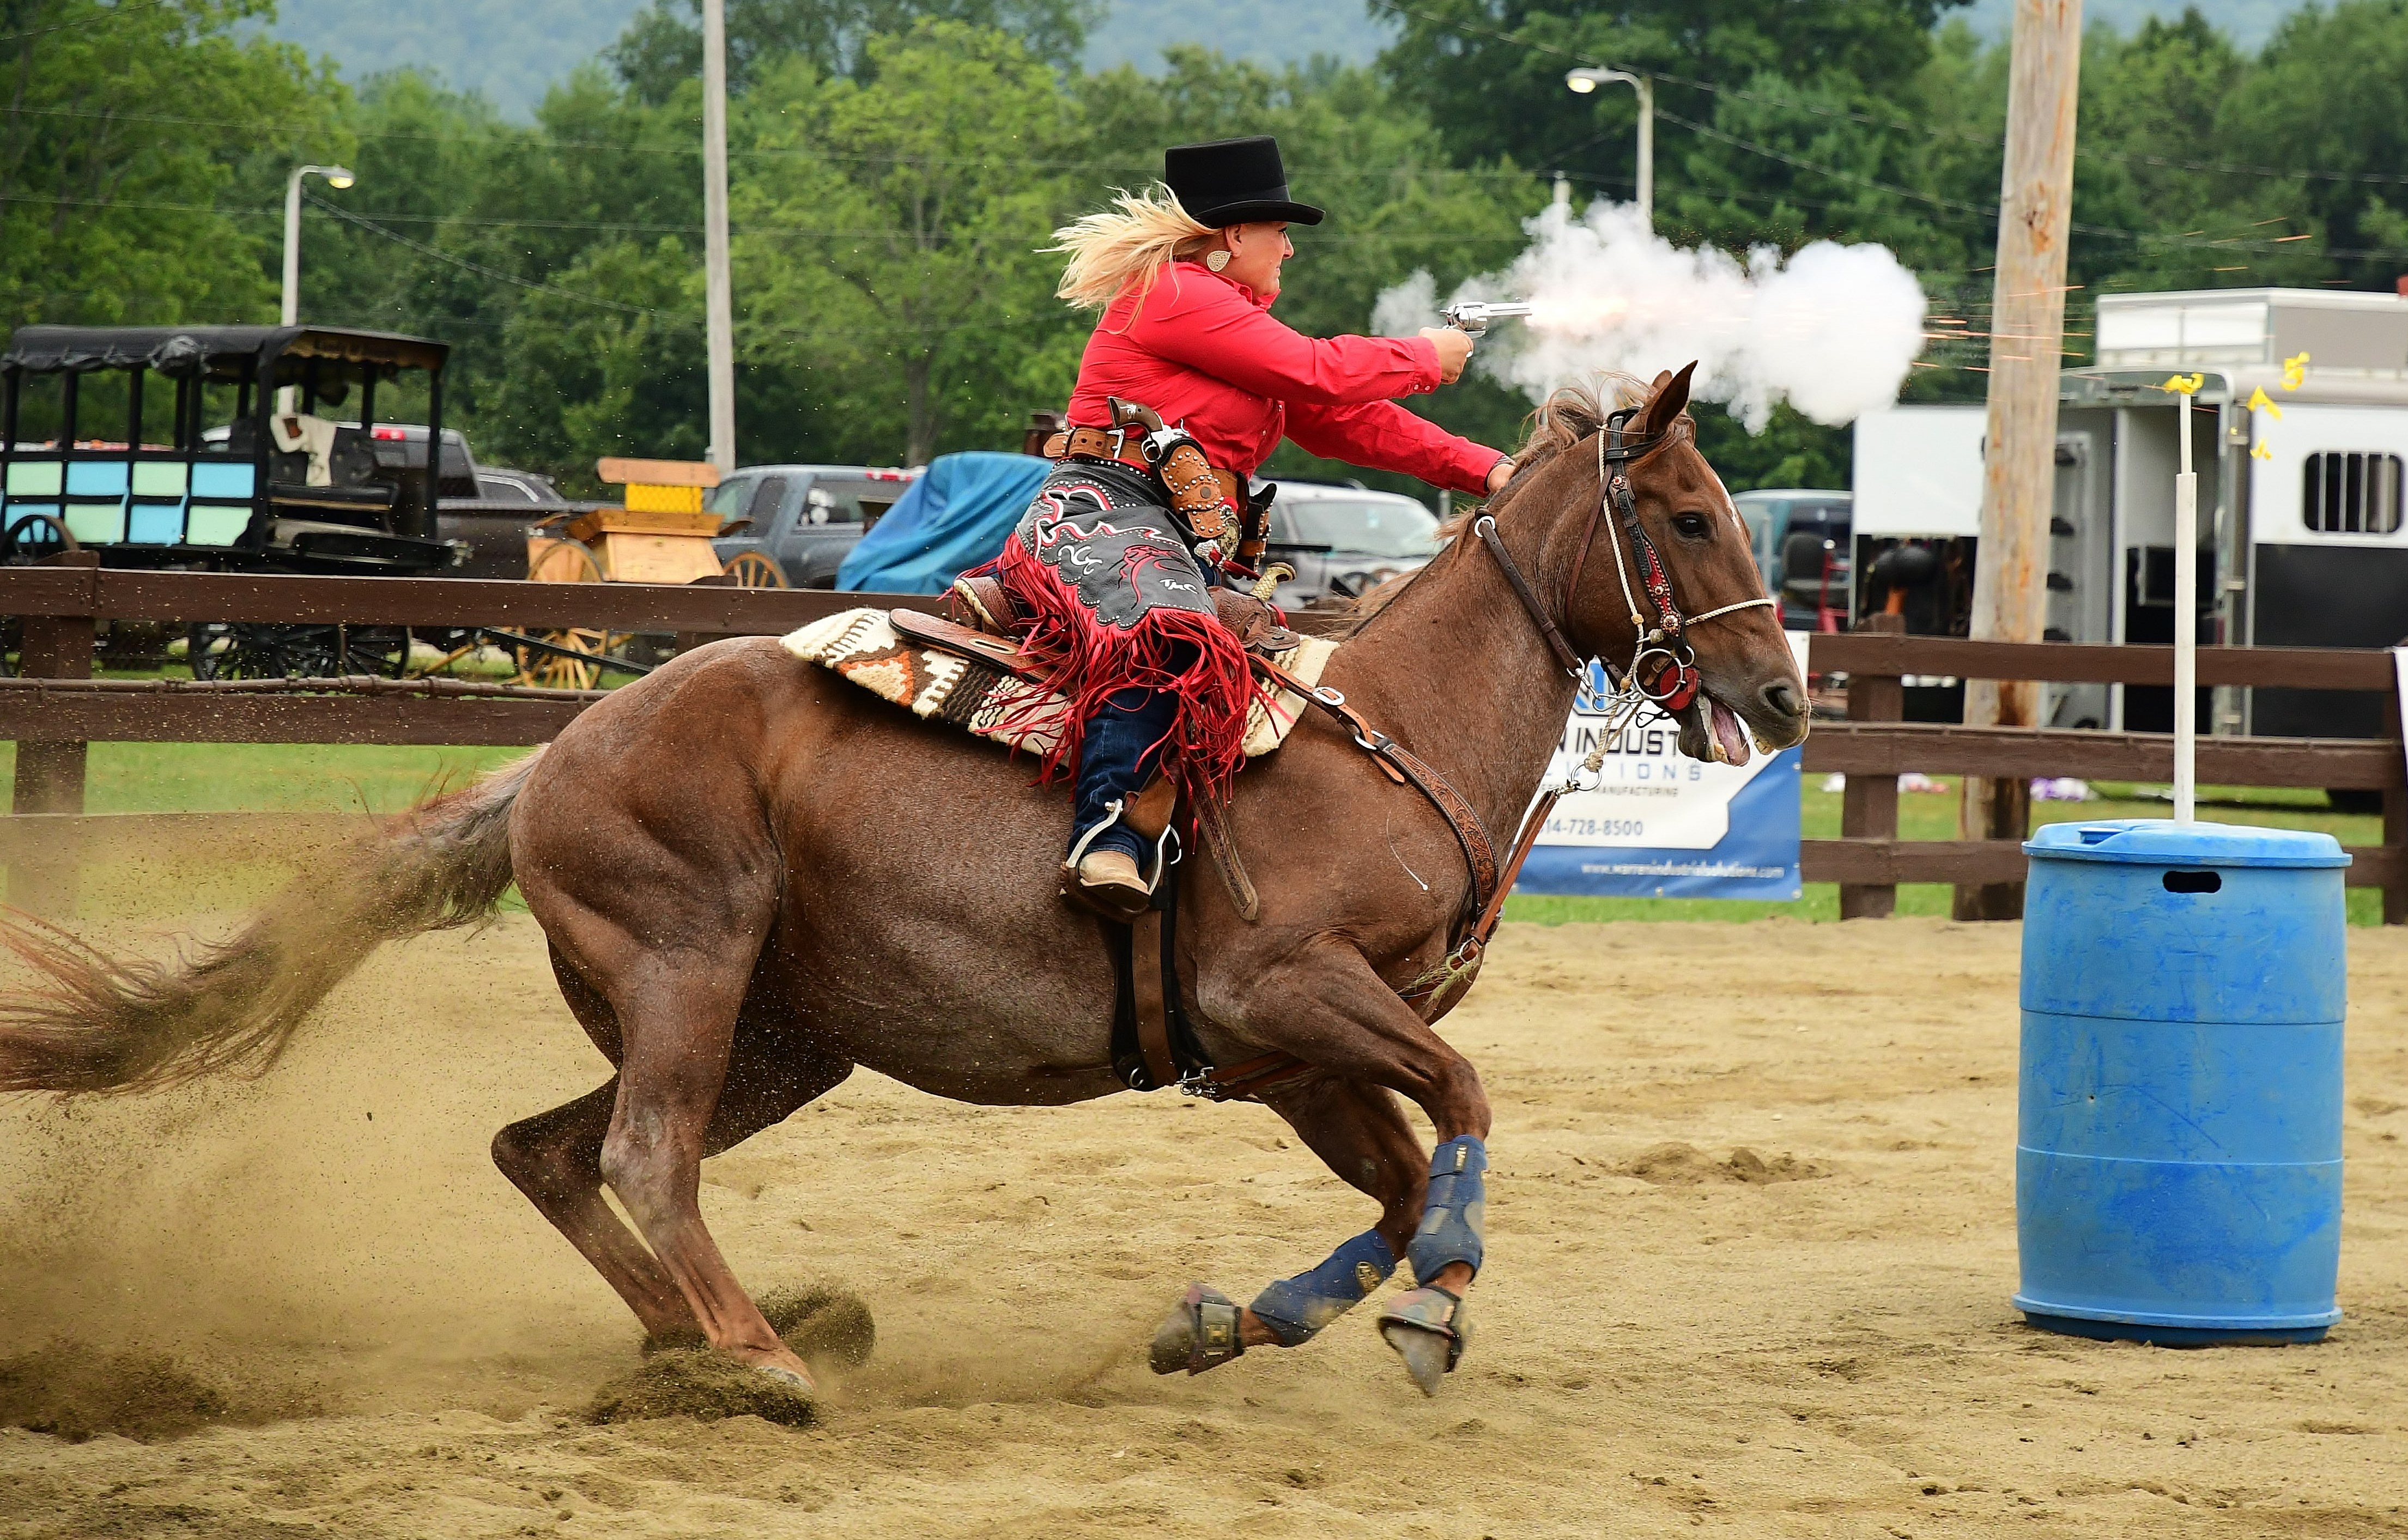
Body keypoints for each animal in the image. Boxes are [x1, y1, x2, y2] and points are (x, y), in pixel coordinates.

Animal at [0, 365, 1808, 1399]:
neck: (1388, 731)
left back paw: (689, 1346)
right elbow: (1470, 1107)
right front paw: (1439, 1309)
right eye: (1687, 513)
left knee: (546, 1150)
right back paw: (757, 1359)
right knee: (644, 1154)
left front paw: (1232, 1322)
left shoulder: (1290, 1059)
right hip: (690, 967)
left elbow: (1391, 1186)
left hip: (785, 1039)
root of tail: (561, 750)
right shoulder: (1290, 993)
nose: (1784, 695)